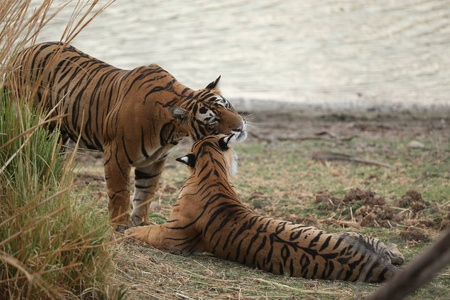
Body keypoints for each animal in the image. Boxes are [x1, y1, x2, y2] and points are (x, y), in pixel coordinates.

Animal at [5, 42, 248, 230]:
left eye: (227, 105)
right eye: (212, 120)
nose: (240, 127)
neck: (172, 129)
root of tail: (21, 51)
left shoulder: (154, 161)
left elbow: (146, 193)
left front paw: (141, 222)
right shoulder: (117, 154)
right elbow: (120, 191)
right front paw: (119, 225)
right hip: (41, 125)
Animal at [125, 135, 404, 282]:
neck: (212, 171)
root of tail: (377, 265)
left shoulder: (173, 236)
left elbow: (148, 231)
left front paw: (128, 231)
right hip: (352, 235)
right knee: (388, 249)